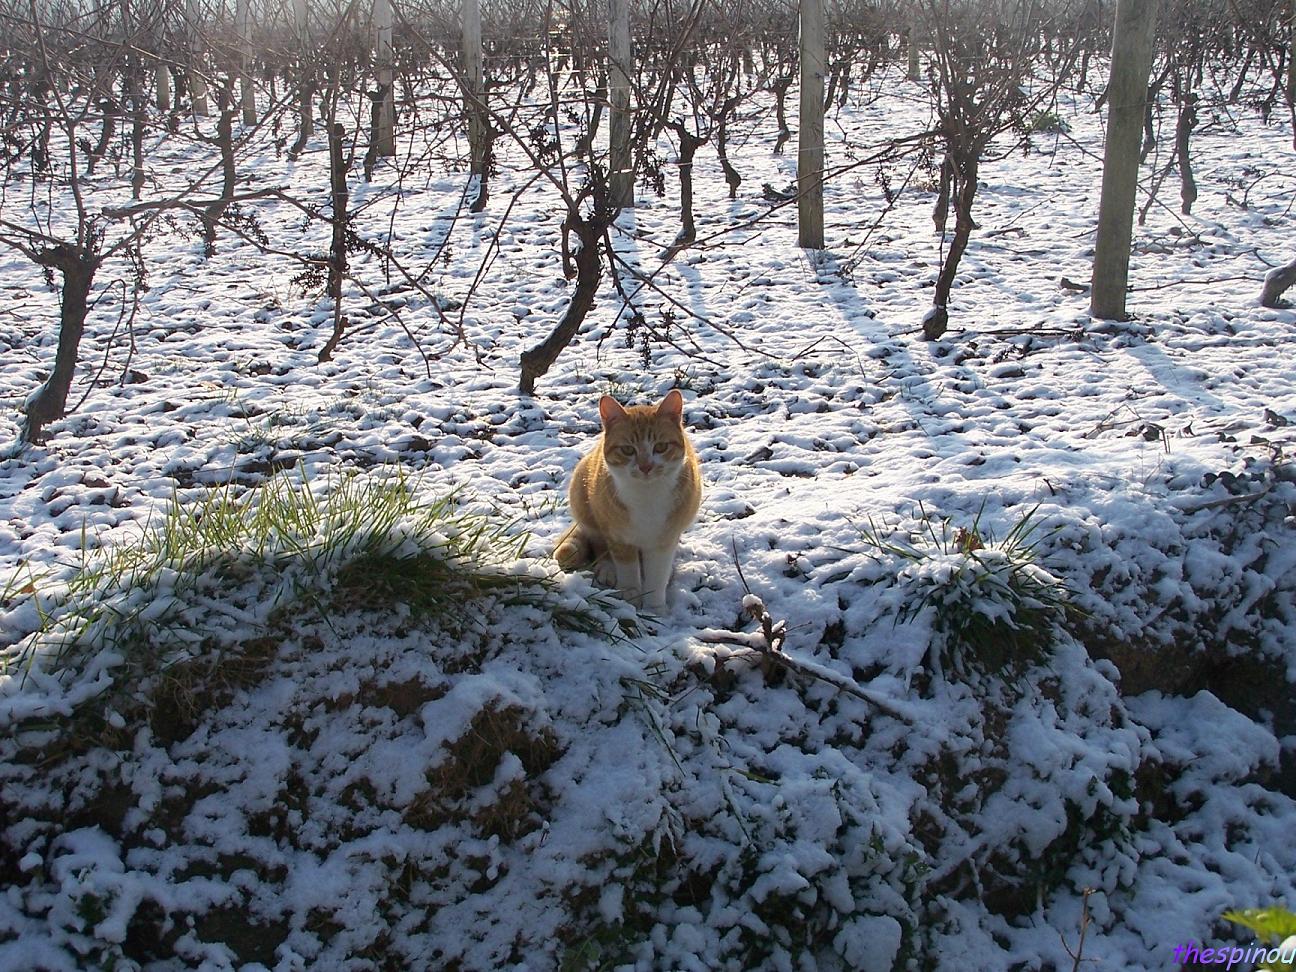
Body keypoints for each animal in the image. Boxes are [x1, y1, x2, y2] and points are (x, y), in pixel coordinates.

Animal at [554, 386, 705, 609]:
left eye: (660, 447)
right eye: (627, 450)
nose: (646, 467)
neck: (646, 497)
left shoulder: (664, 539)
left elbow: (657, 576)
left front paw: (654, 608)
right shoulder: (619, 537)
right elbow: (628, 571)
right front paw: (631, 600)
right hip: (584, 499)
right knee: (599, 544)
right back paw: (607, 568)